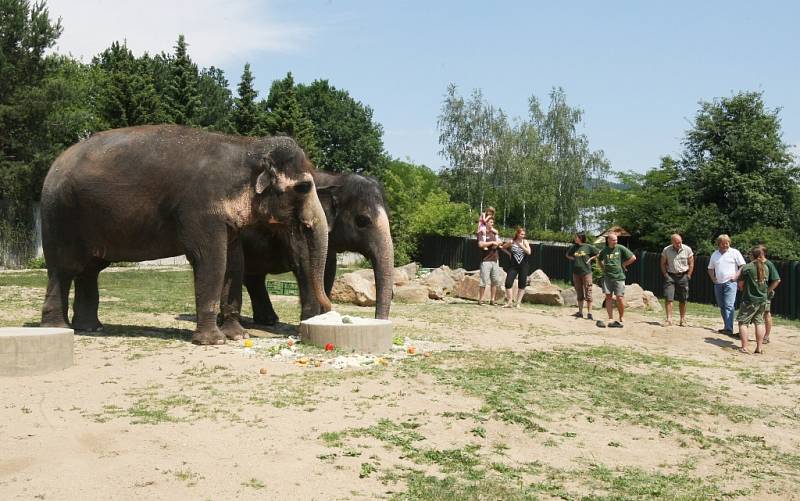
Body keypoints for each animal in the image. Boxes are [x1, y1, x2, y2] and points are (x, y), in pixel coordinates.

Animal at [39, 125, 328, 344]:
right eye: (304, 187)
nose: (328, 309)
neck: (247, 148)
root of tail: (54, 166)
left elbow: (234, 263)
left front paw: (237, 335)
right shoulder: (201, 208)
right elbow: (211, 260)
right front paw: (213, 341)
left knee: (90, 270)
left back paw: (90, 327)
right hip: (59, 218)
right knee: (63, 269)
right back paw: (59, 329)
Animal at [242, 170, 396, 322]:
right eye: (362, 220)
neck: (335, 178)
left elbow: (329, 270)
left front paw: (322, 317)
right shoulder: (298, 229)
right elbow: (307, 265)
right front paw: (310, 320)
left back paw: (269, 320)